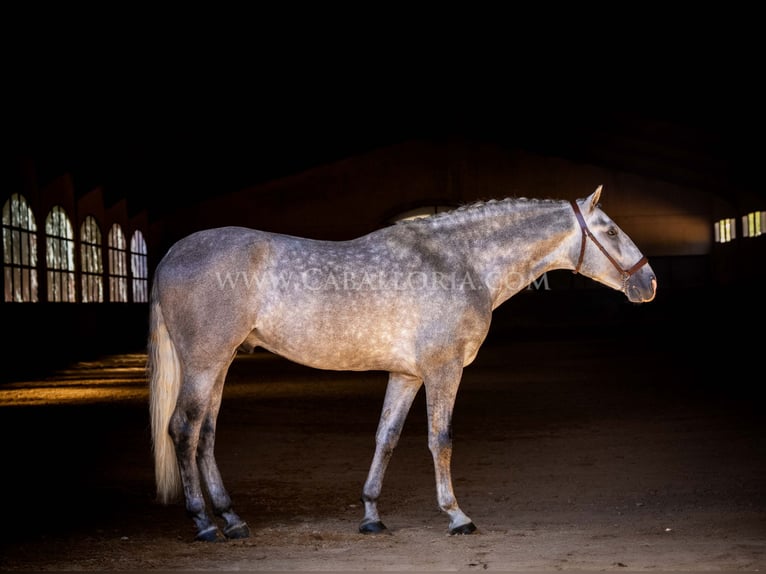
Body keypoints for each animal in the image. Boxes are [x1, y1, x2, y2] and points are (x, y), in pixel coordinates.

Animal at [148, 187, 660, 544]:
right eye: (610, 230)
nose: (649, 283)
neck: (459, 261)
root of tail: (172, 253)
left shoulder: (407, 375)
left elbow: (386, 438)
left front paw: (372, 516)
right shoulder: (443, 370)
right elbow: (440, 439)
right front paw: (456, 516)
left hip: (219, 364)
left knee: (206, 435)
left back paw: (232, 519)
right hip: (204, 363)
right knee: (183, 430)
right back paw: (204, 524)